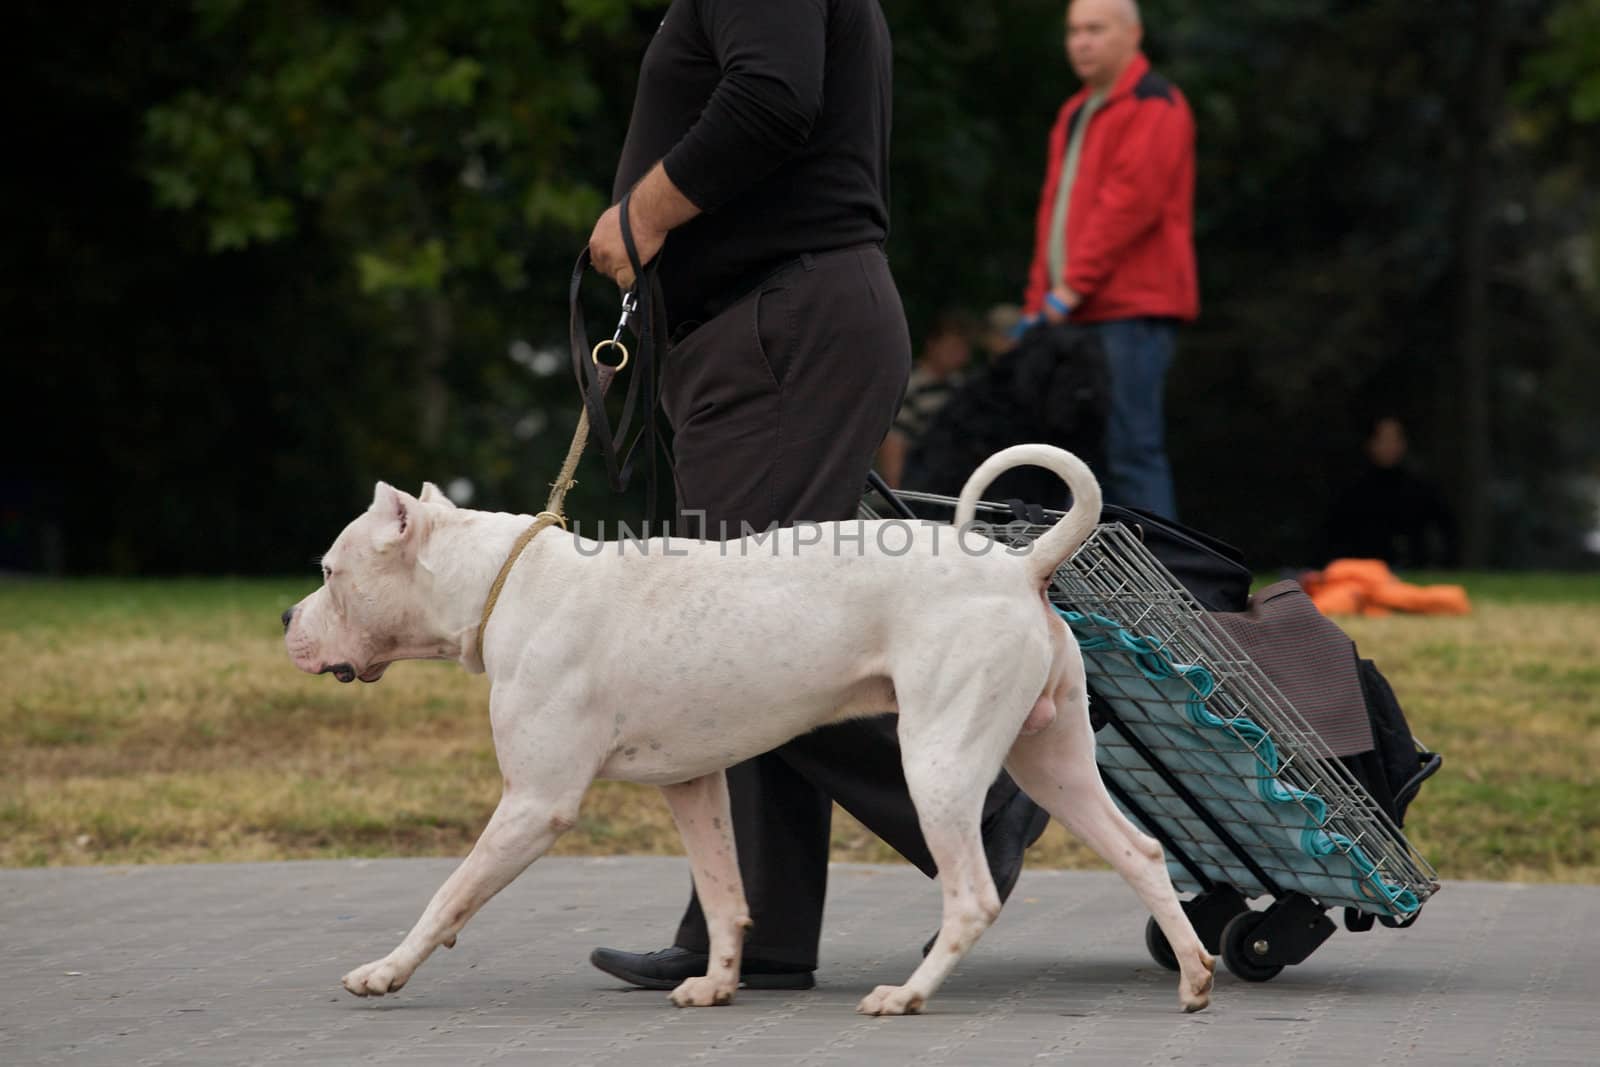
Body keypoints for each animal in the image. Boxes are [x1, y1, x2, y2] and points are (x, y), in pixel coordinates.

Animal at [284, 444, 1209, 1017]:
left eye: (328, 570)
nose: (288, 617)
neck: (504, 582)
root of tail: (1023, 565)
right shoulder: (693, 787)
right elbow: (727, 892)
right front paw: (717, 982)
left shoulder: (534, 803)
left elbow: (449, 892)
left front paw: (386, 969)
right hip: (1055, 760)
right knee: (1141, 852)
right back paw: (1195, 976)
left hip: (939, 763)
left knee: (974, 892)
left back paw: (908, 994)